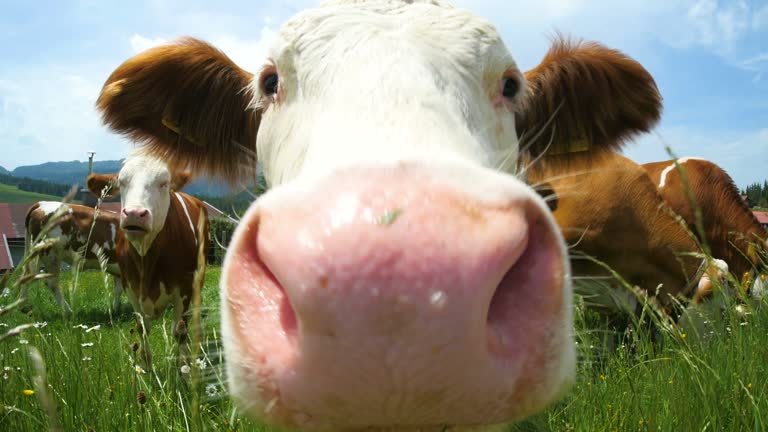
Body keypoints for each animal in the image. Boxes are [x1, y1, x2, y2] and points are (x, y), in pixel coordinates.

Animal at [87, 154, 210, 370]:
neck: (147, 260)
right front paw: (145, 366)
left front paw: (184, 368)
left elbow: (180, 331)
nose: (135, 213)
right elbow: (142, 328)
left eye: (164, 183)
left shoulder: (185, 288)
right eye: (122, 182)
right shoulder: (131, 286)